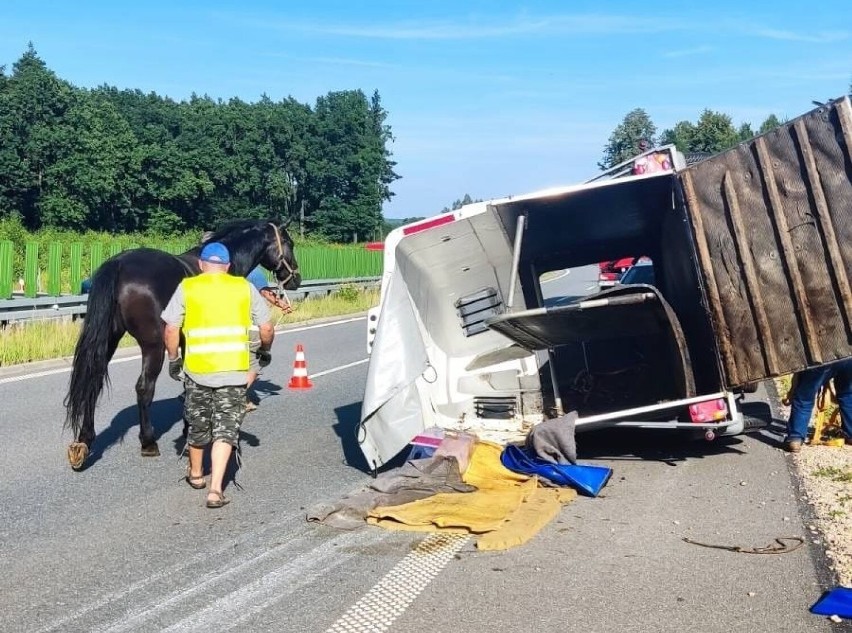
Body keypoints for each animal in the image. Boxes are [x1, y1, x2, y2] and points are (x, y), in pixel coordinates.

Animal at [62, 217, 300, 470]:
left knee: (93, 382)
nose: (296, 279)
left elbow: (190, 384)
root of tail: (118, 264)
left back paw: (84, 441)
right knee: (144, 388)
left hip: (109, 340)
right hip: (153, 346)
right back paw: (148, 441)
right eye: (290, 243)